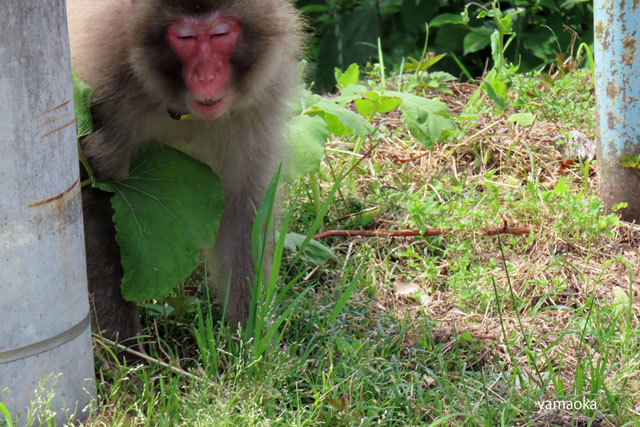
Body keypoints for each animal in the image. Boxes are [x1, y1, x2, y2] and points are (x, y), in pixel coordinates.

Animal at [66, 0, 304, 342]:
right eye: (185, 38)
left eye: (220, 34)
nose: (206, 76)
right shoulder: (104, 90)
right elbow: (95, 197)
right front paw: (124, 344)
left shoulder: (256, 108)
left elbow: (242, 212)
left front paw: (251, 338)